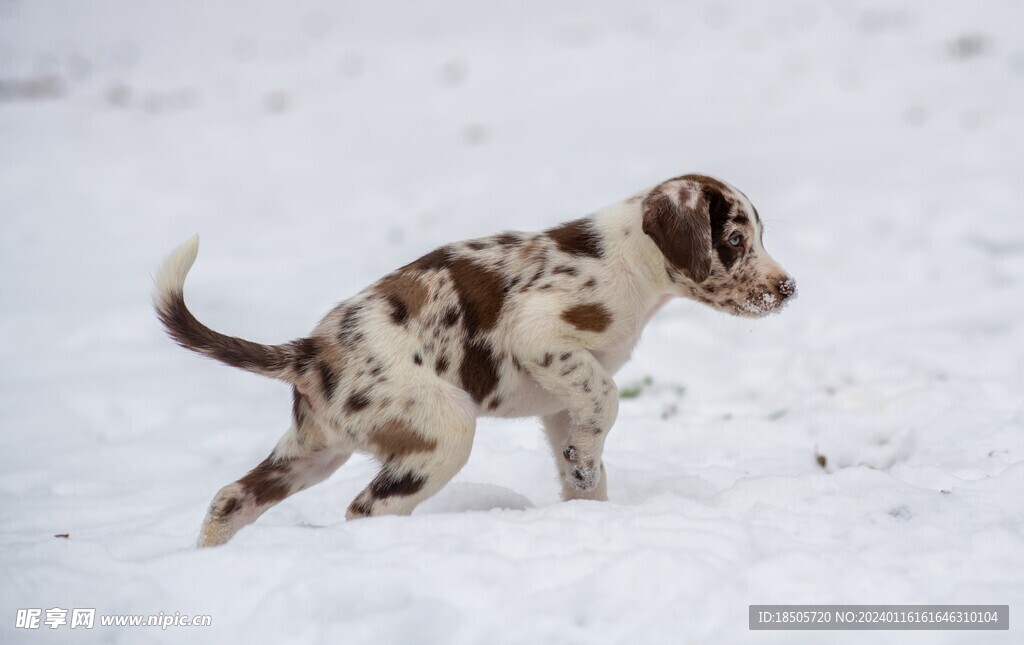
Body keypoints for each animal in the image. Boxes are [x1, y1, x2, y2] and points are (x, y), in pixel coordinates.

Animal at [151, 172, 794, 544]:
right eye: (735, 240)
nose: (788, 289)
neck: (631, 260)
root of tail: (308, 352)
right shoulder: (541, 336)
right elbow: (608, 403)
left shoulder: (560, 403)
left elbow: (584, 456)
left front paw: (589, 500)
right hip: (444, 431)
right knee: (365, 510)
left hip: (314, 451)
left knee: (231, 498)